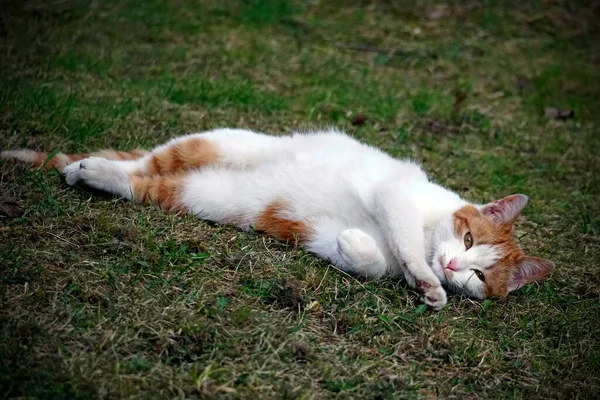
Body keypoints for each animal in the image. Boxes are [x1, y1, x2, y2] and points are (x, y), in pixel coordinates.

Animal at [1, 128, 552, 310]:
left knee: (142, 183)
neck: (432, 217)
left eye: (480, 276)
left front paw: (359, 248)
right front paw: (428, 283)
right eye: (467, 237)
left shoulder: (325, 236)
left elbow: (371, 258)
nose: (455, 268)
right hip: (214, 144)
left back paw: (93, 173)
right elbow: (405, 243)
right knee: (147, 162)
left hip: (202, 196)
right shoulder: (396, 195)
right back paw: (87, 166)